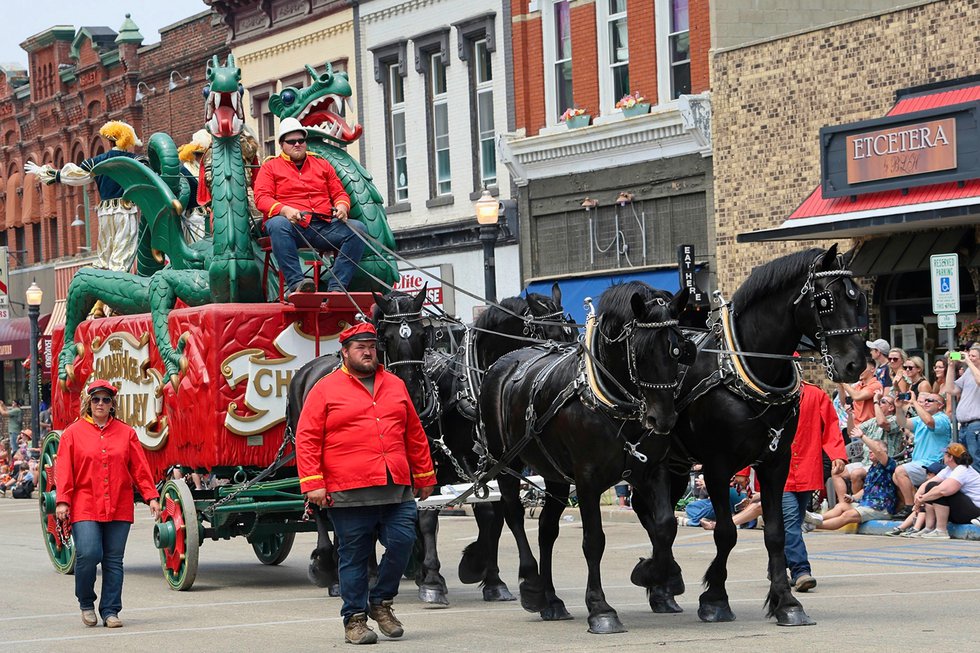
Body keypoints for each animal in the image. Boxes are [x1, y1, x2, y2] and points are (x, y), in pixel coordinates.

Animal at [416, 282, 580, 604]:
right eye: (547, 334)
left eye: (569, 332)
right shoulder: (455, 459)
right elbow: (446, 514)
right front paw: (440, 578)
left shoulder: (500, 460)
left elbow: (494, 514)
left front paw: (487, 575)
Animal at [478, 284, 692, 632]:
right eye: (642, 351)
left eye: (678, 350)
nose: (663, 419)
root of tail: (501, 363)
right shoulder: (587, 479)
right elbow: (593, 540)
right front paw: (600, 608)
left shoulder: (652, 470)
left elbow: (665, 525)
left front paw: (653, 574)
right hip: (506, 464)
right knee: (514, 516)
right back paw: (532, 585)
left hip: (553, 474)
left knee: (547, 530)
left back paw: (552, 601)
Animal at [628, 244, 864, 628]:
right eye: (825, 300)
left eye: (858, 298)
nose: (856, 364)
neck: (744, 370)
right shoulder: (717, 465)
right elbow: (725, 532)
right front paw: (715, 599)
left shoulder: (775, 462)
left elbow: (776, 533)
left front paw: (786, 603)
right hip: (656, 462)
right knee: (657, 518)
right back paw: (660, 575)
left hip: (677, 466)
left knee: (653, 517)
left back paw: (663, 585)